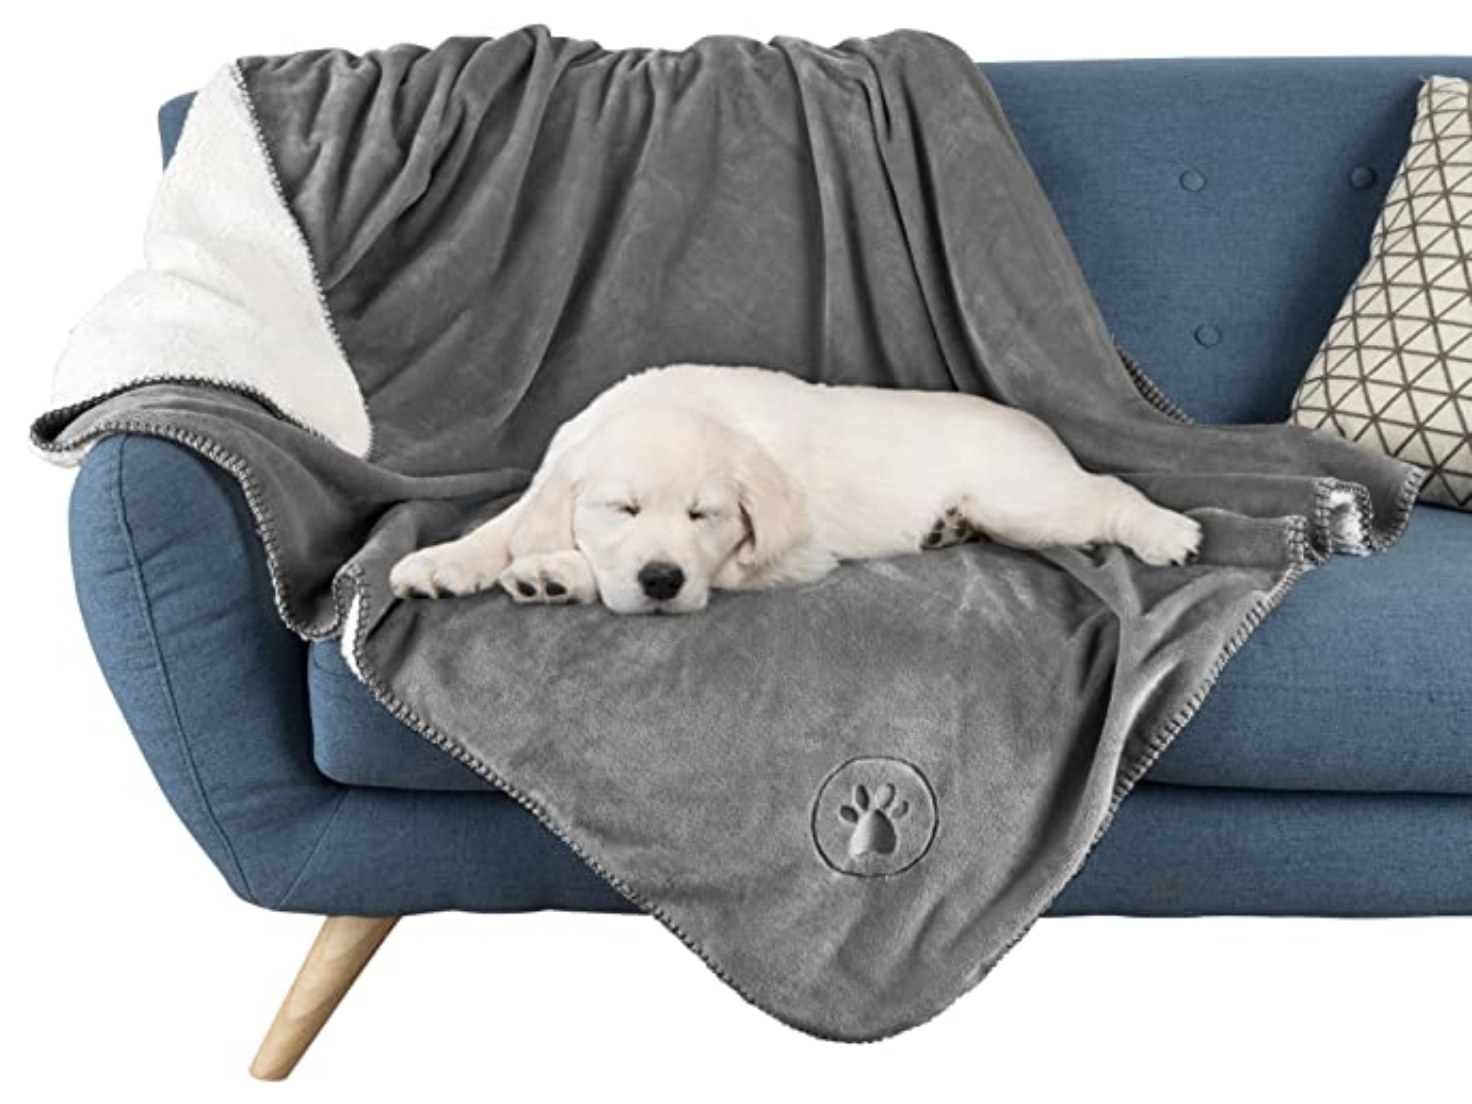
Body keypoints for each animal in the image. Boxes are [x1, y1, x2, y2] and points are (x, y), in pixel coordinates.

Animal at [385, 365, 1201, 615]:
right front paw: (442, 562)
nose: (661, 580)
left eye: (703, 515)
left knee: (1108, 495)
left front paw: (557, 573)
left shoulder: (788, 558)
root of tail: (1034, 423)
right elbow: (508, 523)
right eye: (623, 508)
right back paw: (948, 528)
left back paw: (1169, 533)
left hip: (1029, 499)